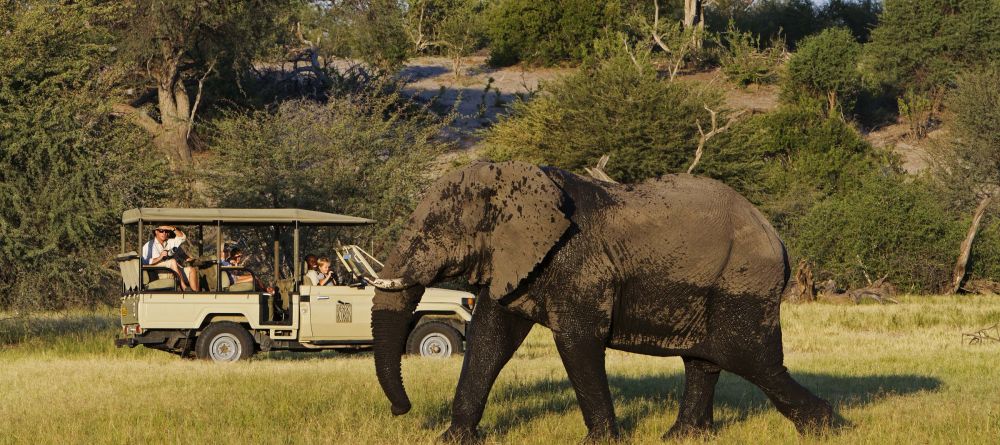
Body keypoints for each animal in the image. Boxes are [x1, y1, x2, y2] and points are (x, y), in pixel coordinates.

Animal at [372, 160, 832, 440]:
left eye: (434, 230)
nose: (401, 410)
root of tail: (777, 237)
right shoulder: (517, 262)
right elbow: (490, 338)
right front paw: (451, 439)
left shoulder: (580, 264)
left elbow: (576, 342)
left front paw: (600, 441)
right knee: (705, 359)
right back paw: (681, 437)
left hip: (744, 280)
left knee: (747, 357)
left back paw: (826, 427)